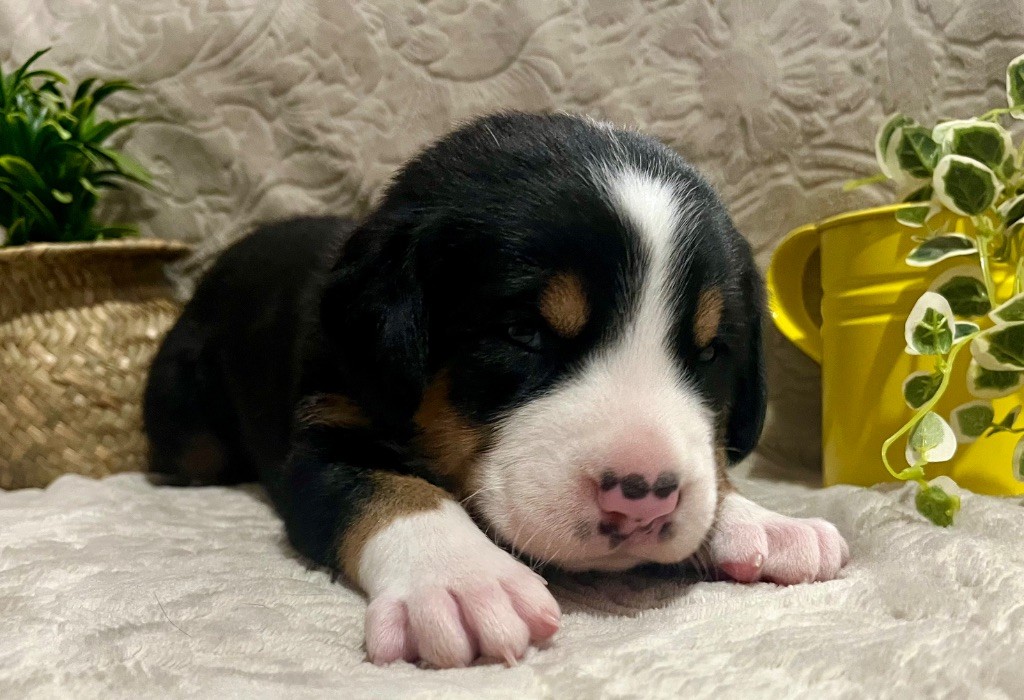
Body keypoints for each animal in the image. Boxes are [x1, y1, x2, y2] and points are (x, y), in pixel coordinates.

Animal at [144, 112, 847, 671]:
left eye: (707, 354)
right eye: (522, 332)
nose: (644, 498)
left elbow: (715, 475)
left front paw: (763, 521)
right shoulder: (324, 433)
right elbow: (395, 491)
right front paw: (464, 580)